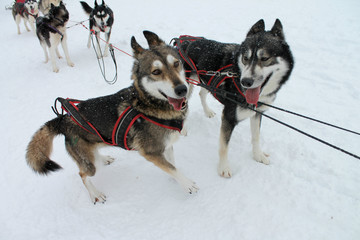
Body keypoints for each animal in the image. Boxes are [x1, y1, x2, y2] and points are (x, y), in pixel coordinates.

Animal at [26, 31, 198, 203]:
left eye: (176, 63)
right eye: (156, 72)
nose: (182, 89)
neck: (149, 104)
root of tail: (63, 119)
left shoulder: (166, 146)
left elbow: (172, 165)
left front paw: (176, 180)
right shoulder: (152, 153)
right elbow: (172, 168)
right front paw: (187, 184)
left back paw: (104, 158)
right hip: (90, 165)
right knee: (83, 174)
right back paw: (95, 194)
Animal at [181, 19, 294, 176]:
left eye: (265, 58)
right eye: (246, 58)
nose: (245, 81)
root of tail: (182, 41)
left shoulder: (257, 113)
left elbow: (256, 137)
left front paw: (258, 155)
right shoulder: (229, 117)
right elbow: (224, 146)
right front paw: (223, 168)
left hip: (207, 82)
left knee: (201, 94)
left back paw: (207, 111)